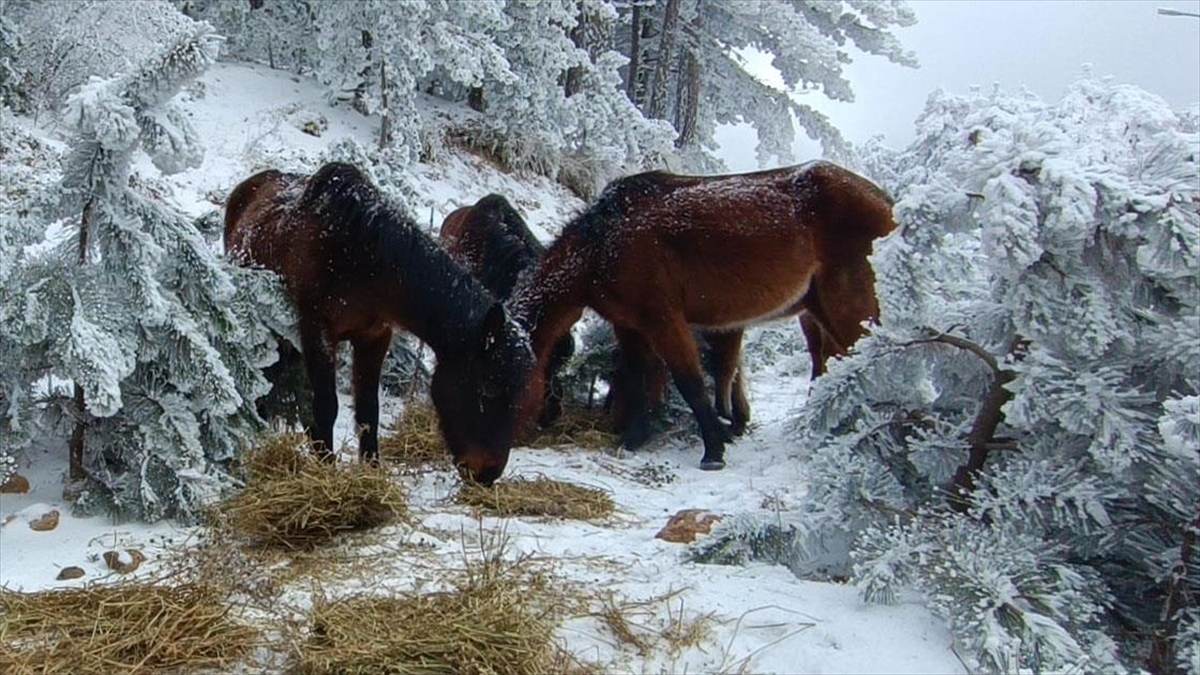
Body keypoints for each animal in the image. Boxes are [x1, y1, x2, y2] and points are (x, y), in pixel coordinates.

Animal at [224, 159, 530, 480]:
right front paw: (327, 469)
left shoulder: (374, 337)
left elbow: (368, 410)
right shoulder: (318, 329)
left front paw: (371, 469)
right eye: (487, 390)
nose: (488, 473)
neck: (361, 258)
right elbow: (326, 406)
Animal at [436, 159, 897, 475]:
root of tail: (886, 202)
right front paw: (634, 437)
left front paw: (713, 450)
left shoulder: (664, 321)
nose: (474, 459)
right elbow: (640, 378)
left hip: (846, 308)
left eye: (491, 385)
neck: (604, 243)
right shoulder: (631, 327)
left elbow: (689, 382)